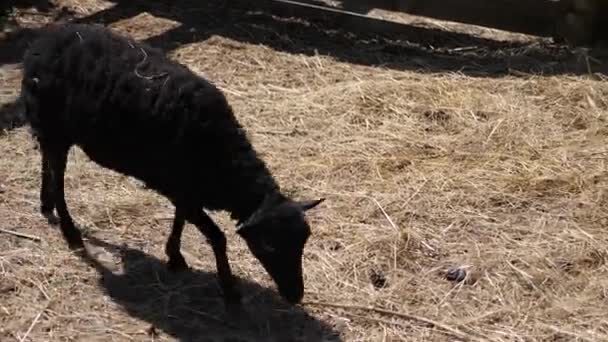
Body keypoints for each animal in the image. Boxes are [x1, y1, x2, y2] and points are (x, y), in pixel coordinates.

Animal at [16, 23, 326, 308]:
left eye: (304, 240)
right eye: (269, 244)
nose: (295, 296)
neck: (225, 162)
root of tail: (42, 42)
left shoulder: (184, 189)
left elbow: (179, 219)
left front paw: (174, 256)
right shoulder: (183, 190)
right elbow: (217, 237)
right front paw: (230, 292)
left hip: (51, 129)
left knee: (47, 163)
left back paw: (46, 205)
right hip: (53, 125)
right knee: (57, 176)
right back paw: (70, 231)